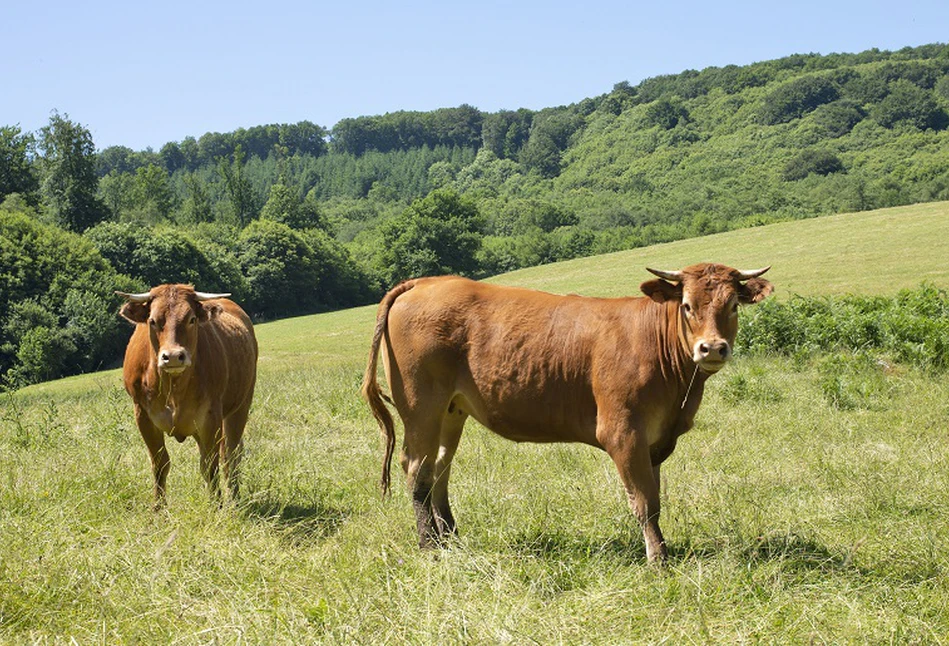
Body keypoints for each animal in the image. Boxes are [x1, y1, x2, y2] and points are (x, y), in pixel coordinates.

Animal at [118, 286, 260, 508]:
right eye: (152, 320)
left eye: (191, 319)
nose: (173, 357)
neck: (173, 388)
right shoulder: (142, 415)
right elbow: (160, 464)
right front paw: (159, 509)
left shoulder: (210, 416)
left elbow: (210, 465)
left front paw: (216, 506)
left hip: (240, 407)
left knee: (231, 454)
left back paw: (234, 498)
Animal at [362, 264, 772, 560]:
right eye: (687, 305)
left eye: (733, 305)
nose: (712, 348)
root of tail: (425, 282)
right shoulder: (623, 432)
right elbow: (644, 502)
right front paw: (658, 559)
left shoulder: (654, 440)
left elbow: (655, 499)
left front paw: (663, 548)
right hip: (421, 407)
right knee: (418, 471)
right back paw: (429, 545)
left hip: (451, 410)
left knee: (439, 470)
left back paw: (451, 538)